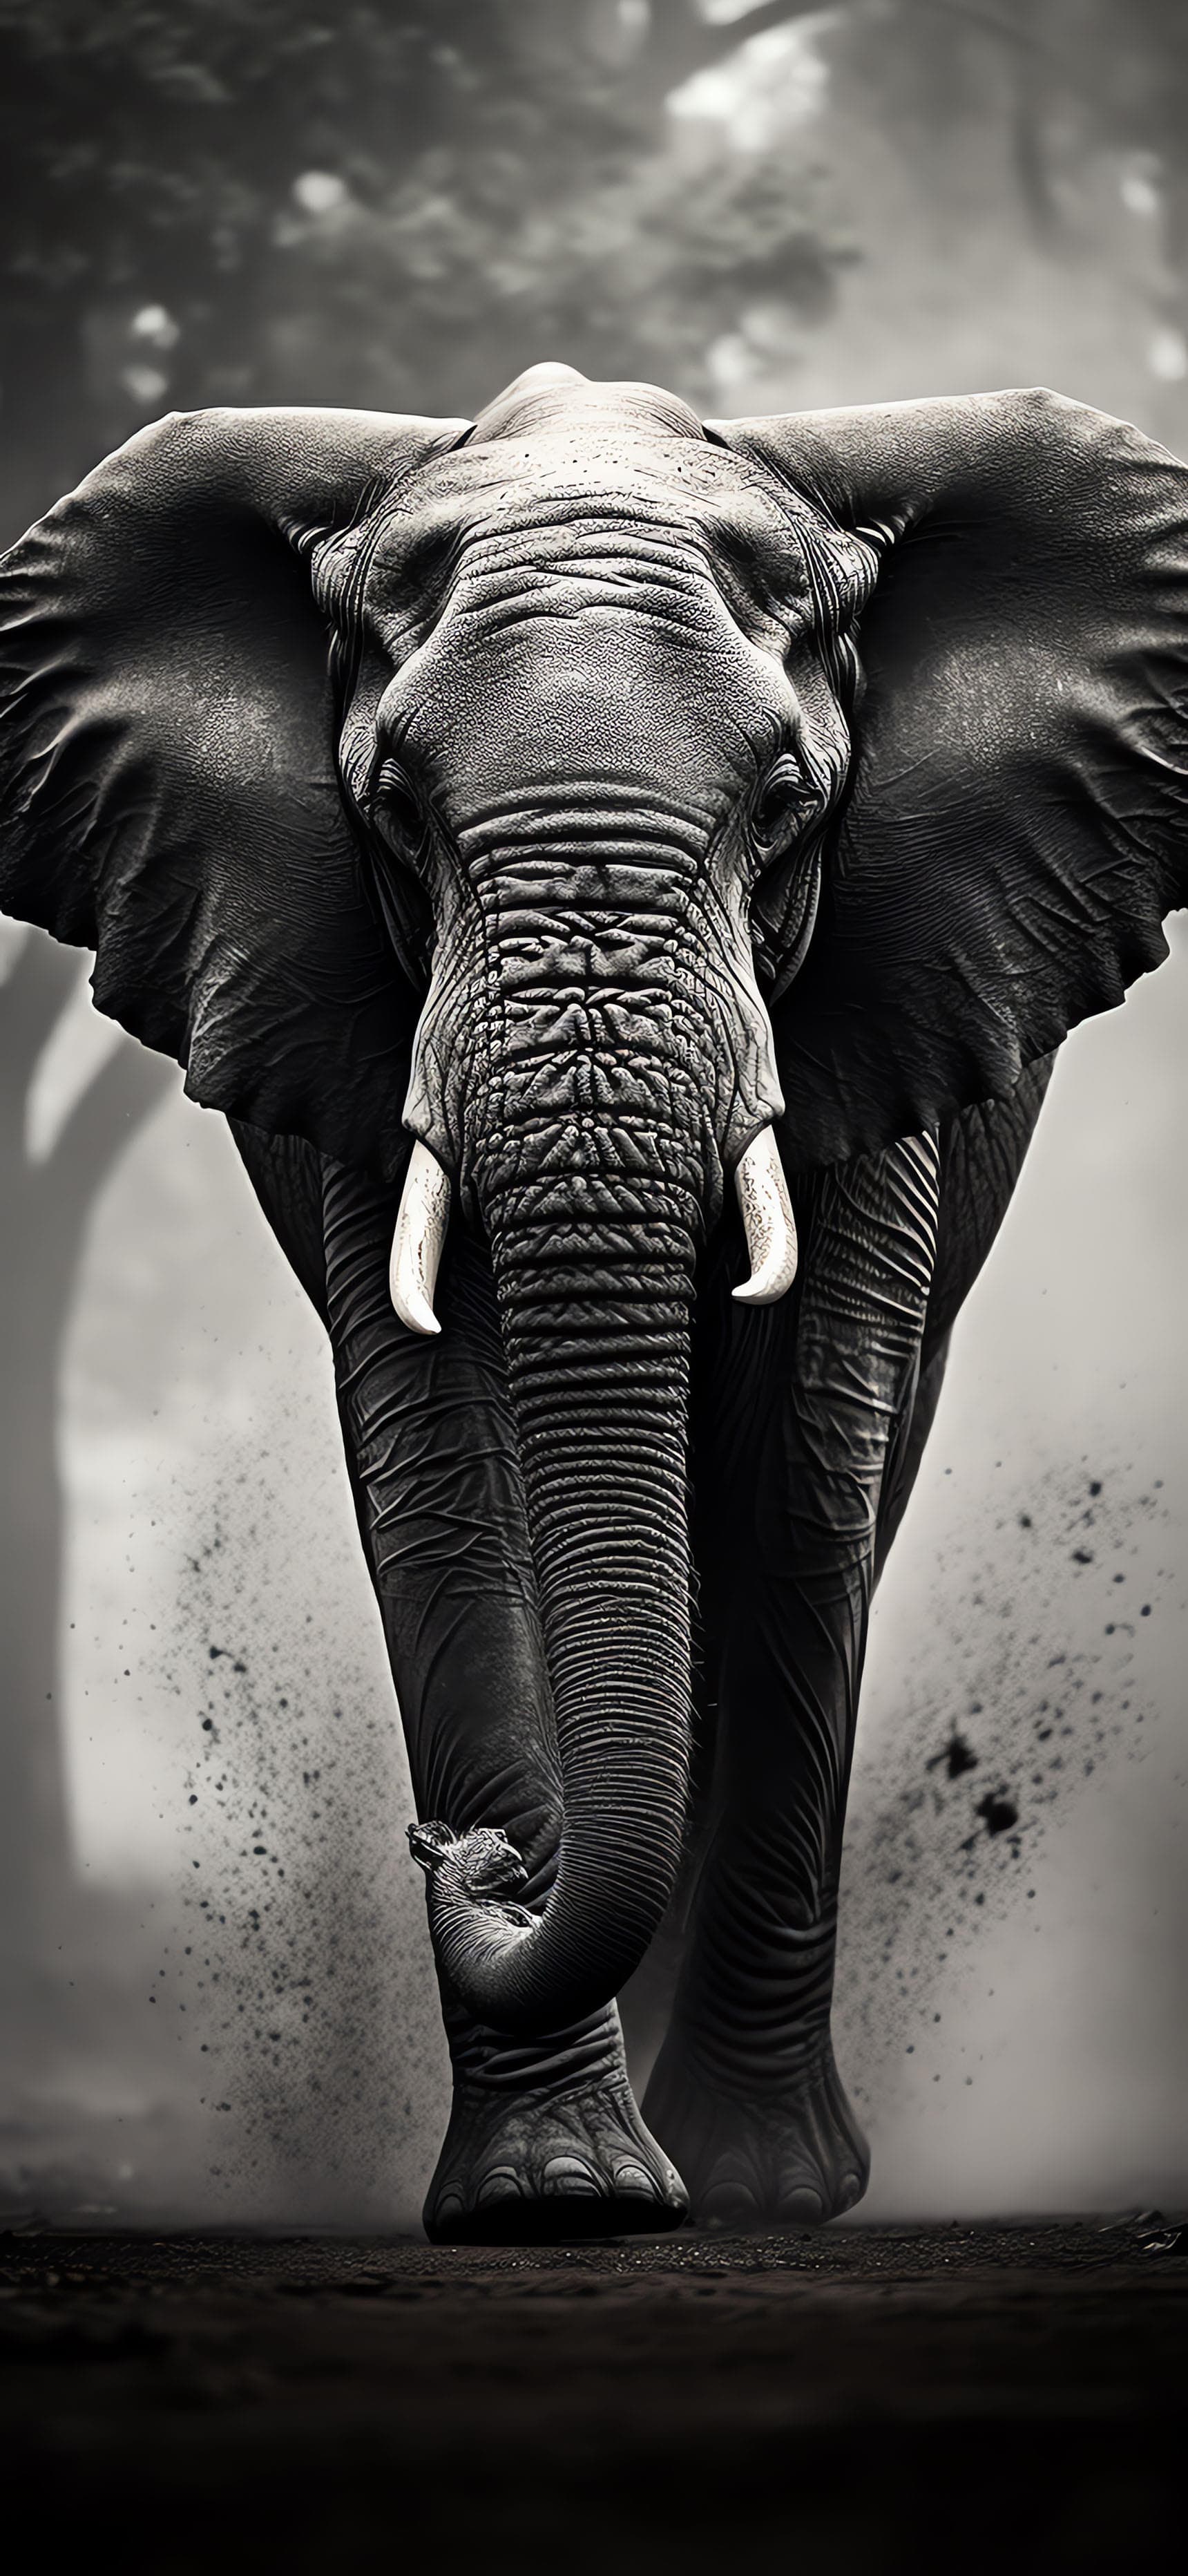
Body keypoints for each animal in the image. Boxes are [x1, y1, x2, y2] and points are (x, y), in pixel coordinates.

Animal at [1, 361, 1185, 2241]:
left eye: (783, 799)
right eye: (396, 810)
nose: (462, 1856)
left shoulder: (885, 987)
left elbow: (806, 1473)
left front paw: (759, 2193)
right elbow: (443, 1477)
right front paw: (555, 2198)